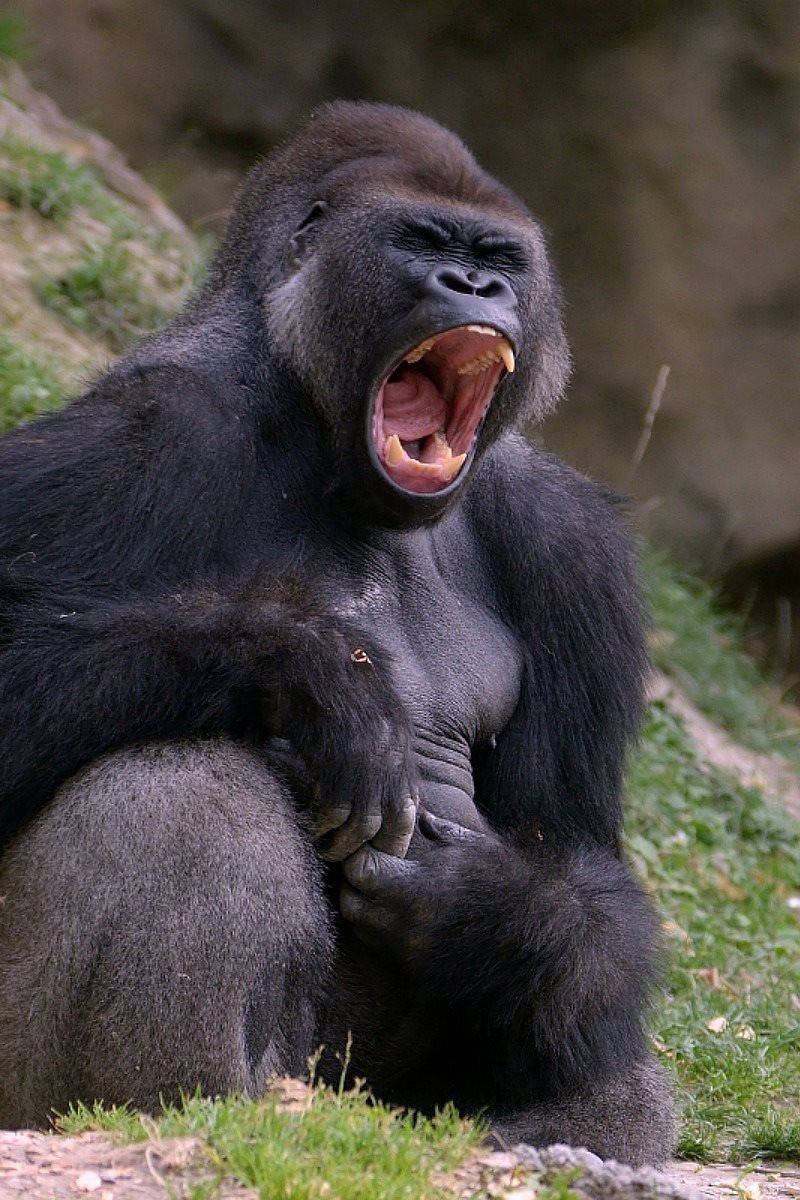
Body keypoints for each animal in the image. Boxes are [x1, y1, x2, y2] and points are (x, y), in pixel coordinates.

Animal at [0, 102, 675, 1164]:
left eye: (499, 259)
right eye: (424, 243)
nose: (475, 287)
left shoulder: (573, 544)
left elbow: (567, 847)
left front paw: (488, 912)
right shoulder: (150, 430)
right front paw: (312, 672)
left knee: (611, 1064)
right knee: (188, 786)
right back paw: (203, 1109)